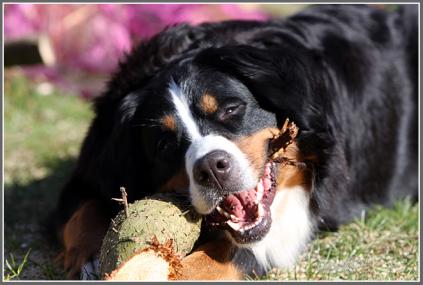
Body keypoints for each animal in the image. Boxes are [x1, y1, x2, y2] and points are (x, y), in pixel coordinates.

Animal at [51, 3, 420, 280]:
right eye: (164, 144)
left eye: (231, 109)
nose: (212, 168)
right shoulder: (94, 165)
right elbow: (84, 211)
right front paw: (90, 258)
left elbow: (222, 255)